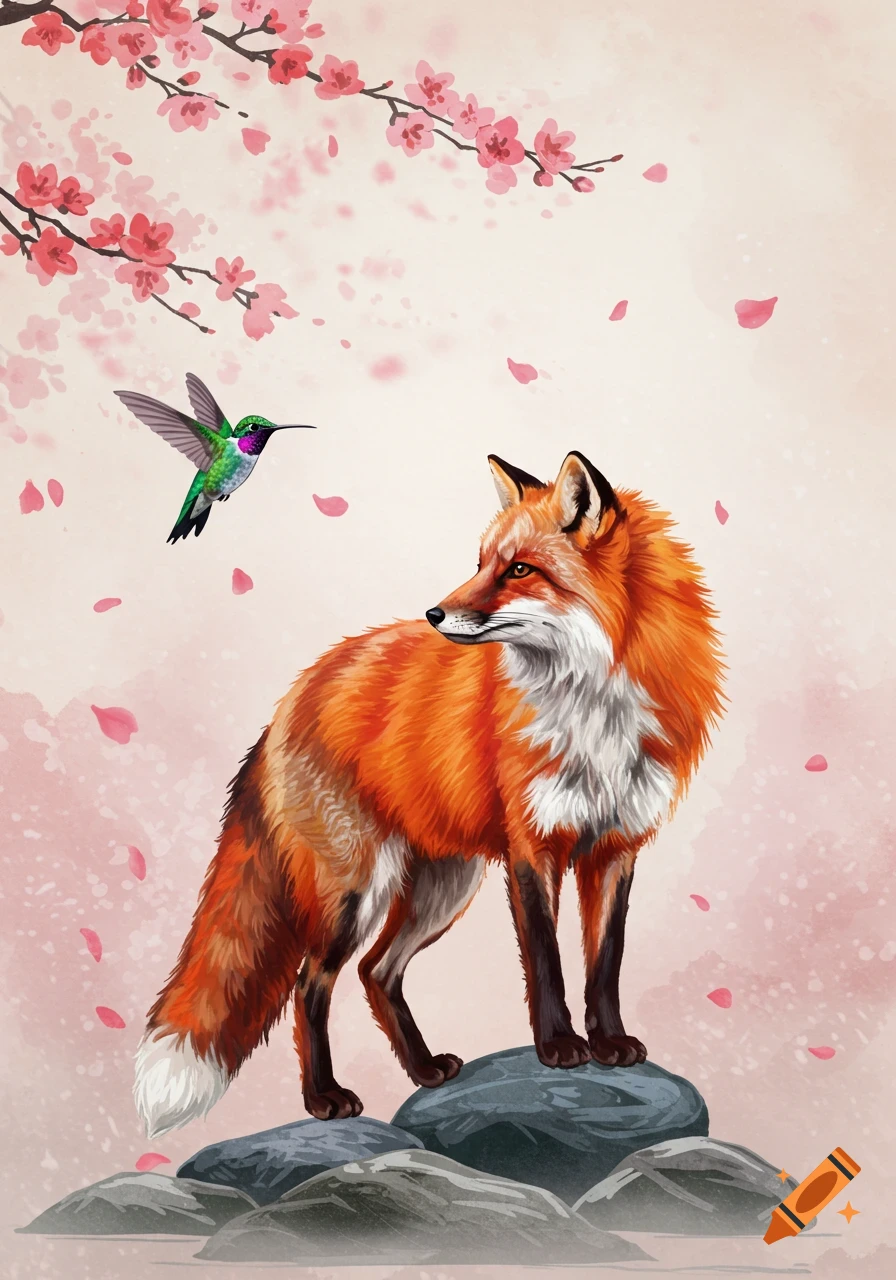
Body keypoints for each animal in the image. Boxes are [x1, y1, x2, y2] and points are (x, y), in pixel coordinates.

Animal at [134, 450, 725, 1139]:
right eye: (481, 562)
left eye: (519, 569)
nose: (434, 615)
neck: (593, 702)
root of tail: (294, 694)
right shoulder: (534, 848)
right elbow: (547, 962)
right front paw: (559, 1048)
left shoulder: (616, 847)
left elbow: (605, 964)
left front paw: (609, 1044)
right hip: (356, 891)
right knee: (312, 984)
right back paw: (324, 1098)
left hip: (444, 886)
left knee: (376, 971)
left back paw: (422, 1069)